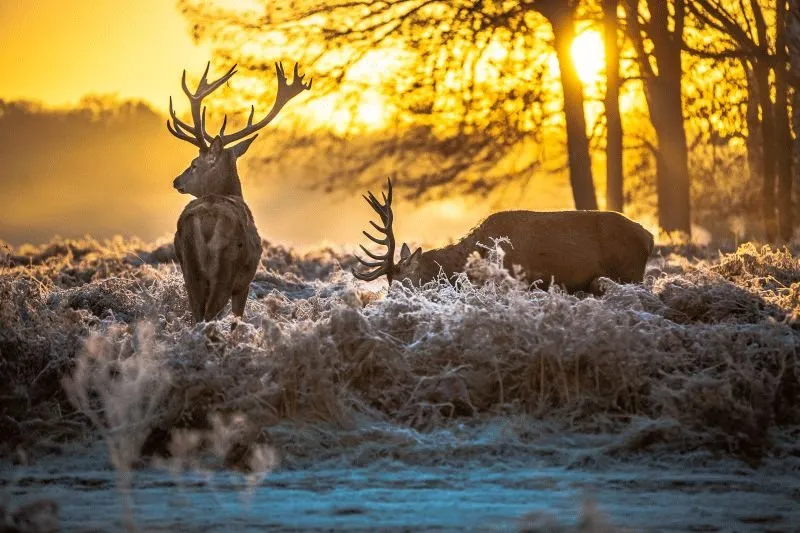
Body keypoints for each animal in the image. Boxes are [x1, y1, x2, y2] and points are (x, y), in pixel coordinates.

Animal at [167, 62, 311, 323]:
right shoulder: (244, 284)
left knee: (197, 314)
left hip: (189, 269)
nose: (176, 181)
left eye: (194, 165)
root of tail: (207, 221)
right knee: (208, 315)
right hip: (227, 269)